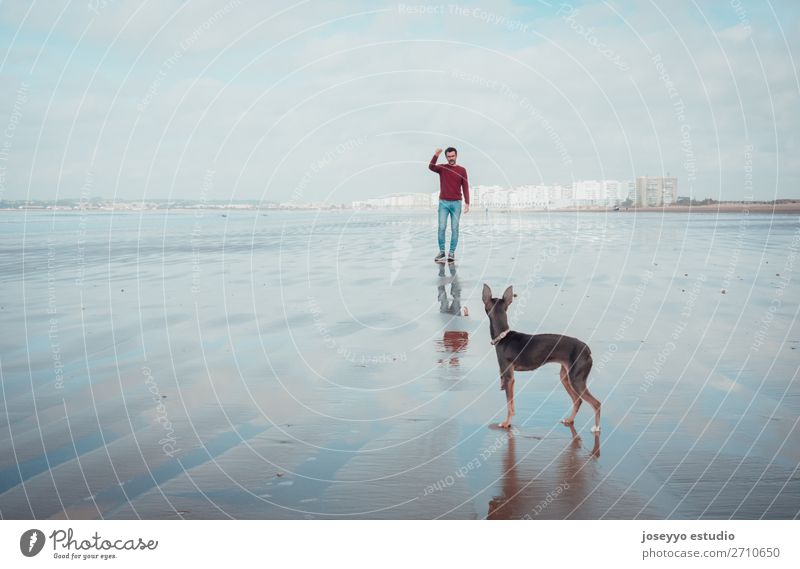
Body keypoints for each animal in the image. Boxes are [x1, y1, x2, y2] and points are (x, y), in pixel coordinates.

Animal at [482, 284, 600, 430]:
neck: (503, 336)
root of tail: (587, 350)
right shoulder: (509, 379)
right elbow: (512, 404)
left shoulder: (509, 378)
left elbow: (509, 405)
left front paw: (506, 423)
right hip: (565, 377)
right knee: (577, 401)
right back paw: (569, 420)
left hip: (576, 380)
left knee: (596, 403)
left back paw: (596, 428)